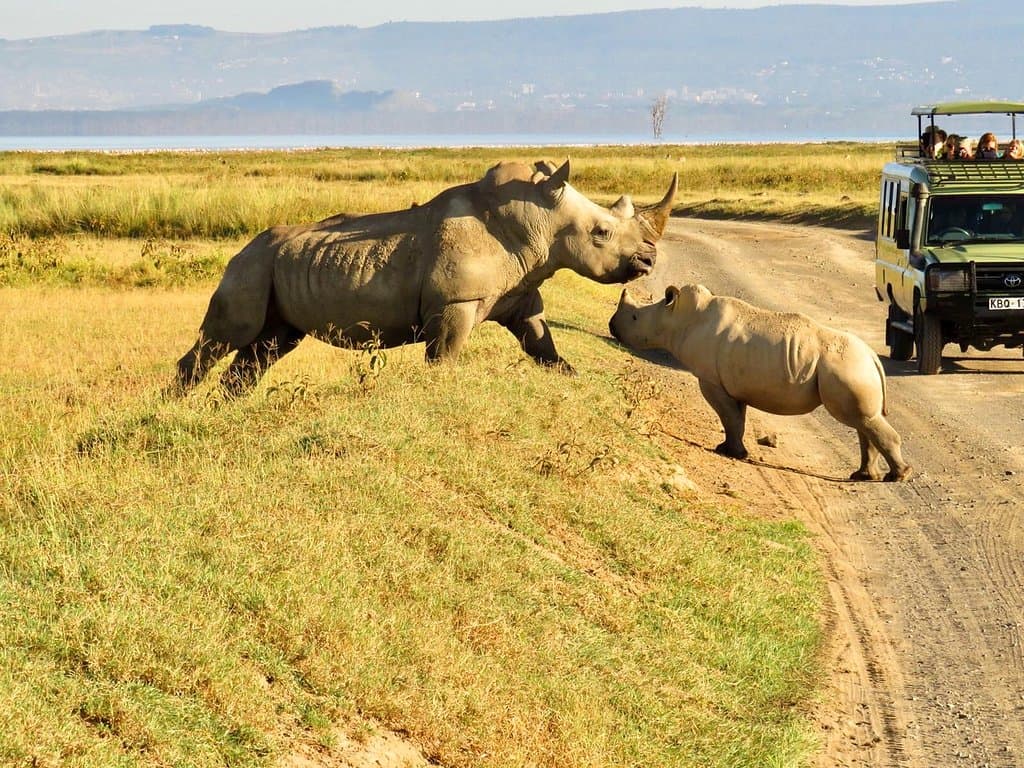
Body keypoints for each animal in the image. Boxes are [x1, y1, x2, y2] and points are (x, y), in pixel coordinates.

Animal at [175, 158, 675, 393]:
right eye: (602, 232)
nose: (649, 262)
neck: (539, 219)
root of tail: (238, 251)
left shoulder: (522, 292)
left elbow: (541, 343)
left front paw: (570, 376)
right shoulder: (454, 303)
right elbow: (445, 356)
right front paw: (439, 388)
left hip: (276, 269)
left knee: (267, 347)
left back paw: (224, 411)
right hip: (250, 266)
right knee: (227, 337)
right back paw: (173, 408)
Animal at [606, 286, 913, 483]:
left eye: (634, 318)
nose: (611, 327)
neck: (677, 318)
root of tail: (872, 356)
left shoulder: (711, 380)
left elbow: (729, 418)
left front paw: (730, 453)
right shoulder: (733, 384)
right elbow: (737, 419)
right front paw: (732, 450)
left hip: (847, 368)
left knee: (862, 420)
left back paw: (896, 477)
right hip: (853, 368)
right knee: (863, 421)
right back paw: (864, 476)